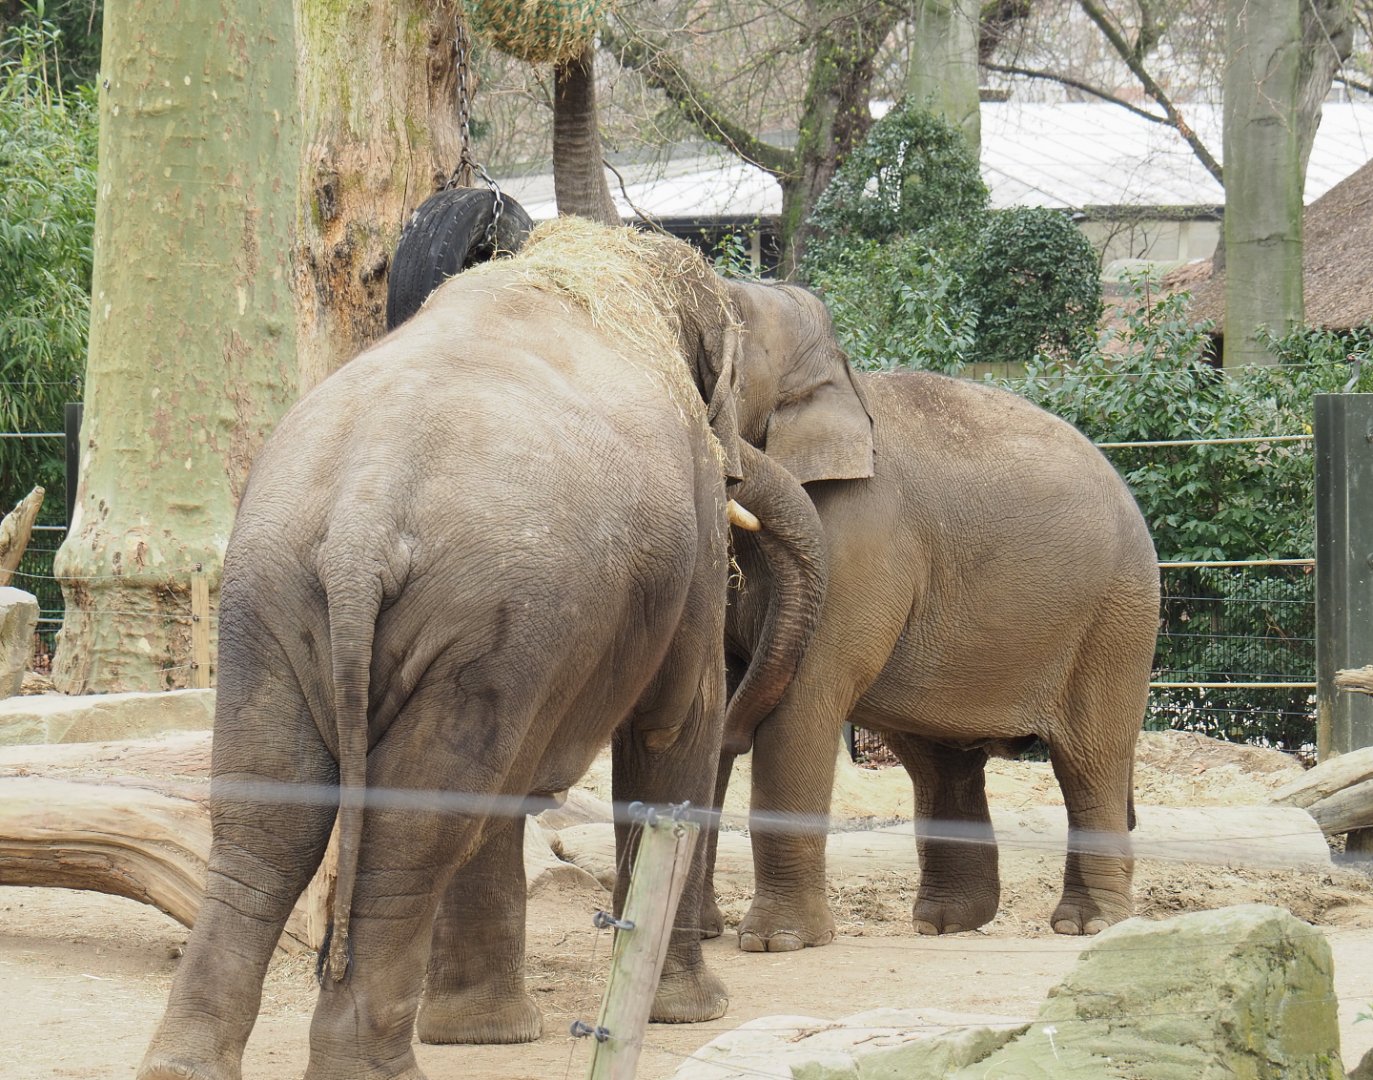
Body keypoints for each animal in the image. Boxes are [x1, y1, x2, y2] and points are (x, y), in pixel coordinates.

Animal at [136, 220, 831, 1080]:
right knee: (417, 828)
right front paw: (692, 1013)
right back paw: (378, 1072)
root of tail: (363, 514)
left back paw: (184, 1066)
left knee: (269, 819)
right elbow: (673, 724)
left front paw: (484, 1036)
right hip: (476, 611)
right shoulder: (693, 532)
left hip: (271, 596)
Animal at [710, 280, 1160, 950]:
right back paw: (946, 924)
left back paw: (1088, 926)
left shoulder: (861, 535)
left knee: (1090, 759)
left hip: (1117, 618)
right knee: (940, 763)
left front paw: (775, 943)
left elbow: (803, 701)